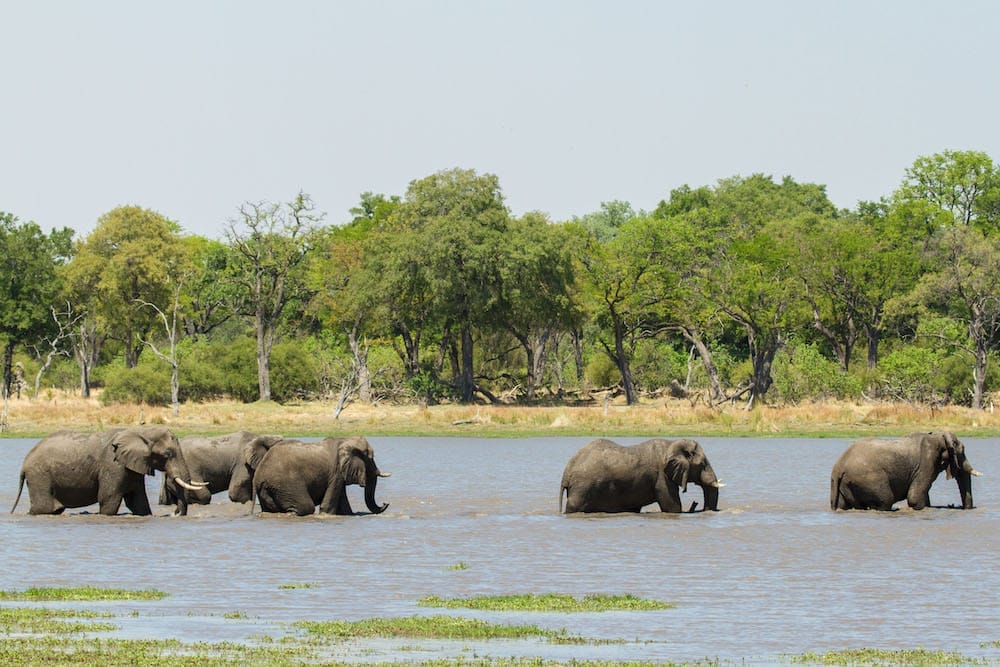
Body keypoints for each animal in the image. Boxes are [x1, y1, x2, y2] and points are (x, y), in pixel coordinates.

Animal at [11, 427, 207, 516]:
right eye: (168, 454)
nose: (175, 513)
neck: (140, 432)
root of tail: (25, 463)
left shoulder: (132, 467)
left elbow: (138, 502)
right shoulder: (113, 466)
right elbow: (109, 498)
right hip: (40, 475)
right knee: (44, 508)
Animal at [253, 436, 391, 516]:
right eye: (370, 458)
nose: (386, 502)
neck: (344, 440)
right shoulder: (336, 471)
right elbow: (328, 506)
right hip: (286, 484)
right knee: (305, 507)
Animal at [560, 438, 723, 513]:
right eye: (702, 464)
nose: (696, 506)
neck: (672, 443)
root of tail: (567, 471)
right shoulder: (662, 476)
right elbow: (672, 507)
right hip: (582, 487)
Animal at [830, 431, 982, 511]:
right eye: (962, 452)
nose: (961, 507)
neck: (937, 436)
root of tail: (838, 468)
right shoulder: (927, 462)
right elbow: (914, 497)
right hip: (869, 479)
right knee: (886, 500)